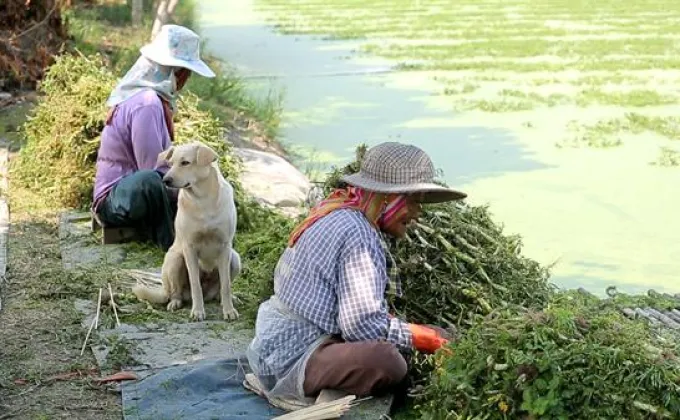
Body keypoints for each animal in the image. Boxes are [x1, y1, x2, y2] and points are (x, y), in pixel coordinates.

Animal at [131, 141, 240, 322]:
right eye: (170, 164)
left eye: (185, 163)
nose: (166, 180)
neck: (204, 200)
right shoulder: (189, 248)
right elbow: (195, 283)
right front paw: (197, 311)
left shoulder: (225, 246)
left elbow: (226, 285)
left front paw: (229, 310)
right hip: (175, 260)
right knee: (176, 293)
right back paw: (175, 302)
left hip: (235, 258)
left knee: (219, 290)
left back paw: (225, 299)